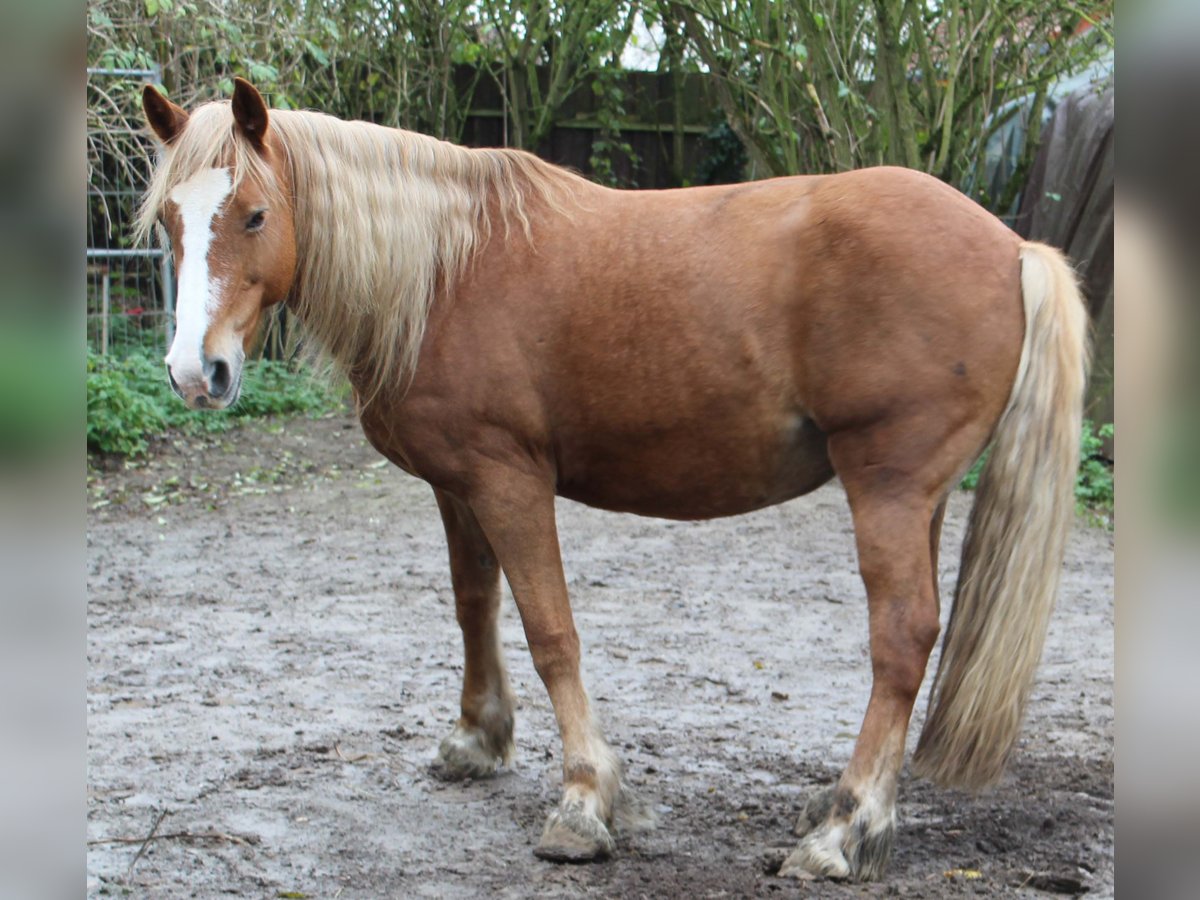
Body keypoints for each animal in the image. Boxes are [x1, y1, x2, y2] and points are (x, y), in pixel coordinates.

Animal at [138, 77, 1089, 883]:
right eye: (171, 225)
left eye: (255, 214)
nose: (195, 373)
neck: (447, 268)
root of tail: (1012, 245)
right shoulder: (456, 485)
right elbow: (473, 603)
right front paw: (477, 738)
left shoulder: (509, 479)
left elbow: (550, 632)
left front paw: (585, 801)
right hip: (915, 497)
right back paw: (854, 809)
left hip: (886, 485)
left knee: (900, 640)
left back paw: (842, 831)